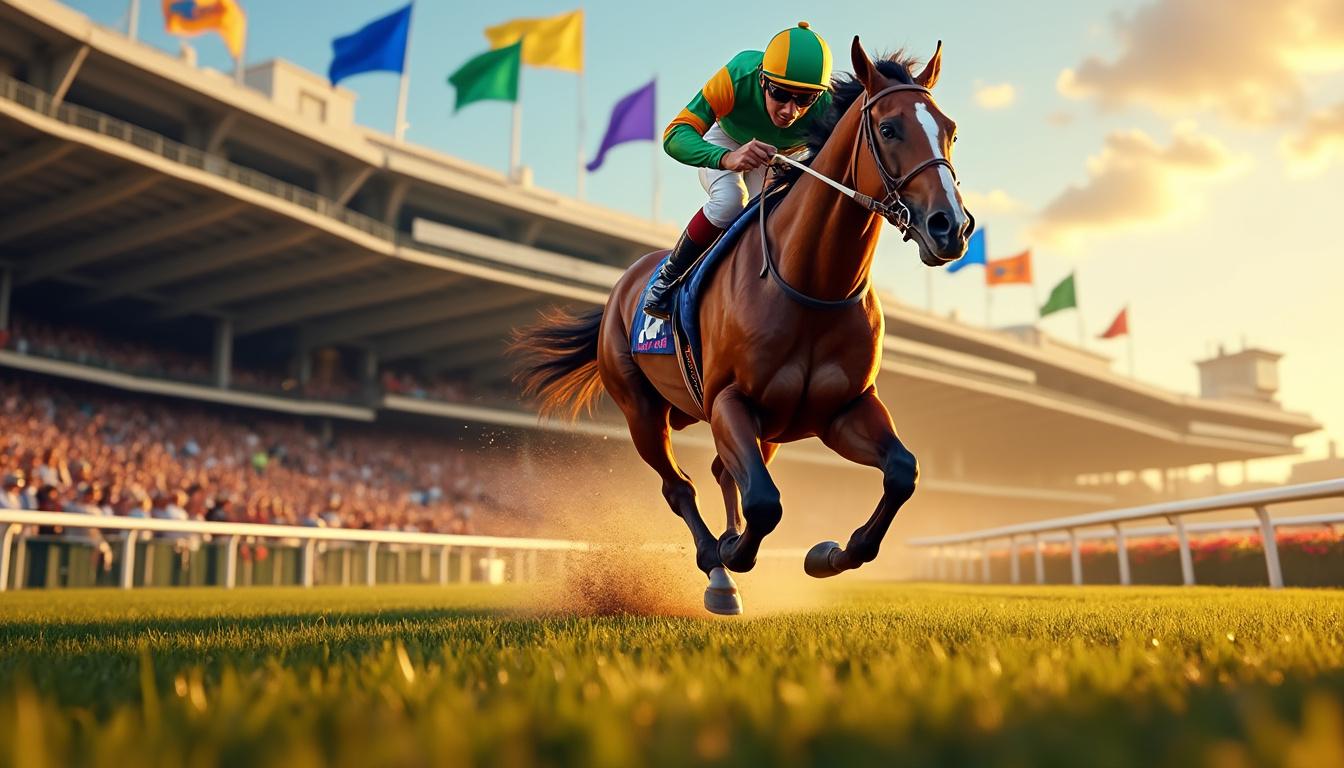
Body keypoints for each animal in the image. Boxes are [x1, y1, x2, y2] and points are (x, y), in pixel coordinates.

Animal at [511, 37, 973, 614]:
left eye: (950, 129)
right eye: (889, 129)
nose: (951, 227)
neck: (812, 284)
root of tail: (624, 284)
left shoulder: (841, 409)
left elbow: (902, 472)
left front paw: (828, 555)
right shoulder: (729, 400)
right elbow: (764, 502)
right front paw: (732, 556)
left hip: (767, 428)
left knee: (719, 471)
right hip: (641, 409)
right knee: (680, 486)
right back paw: (717, 569)